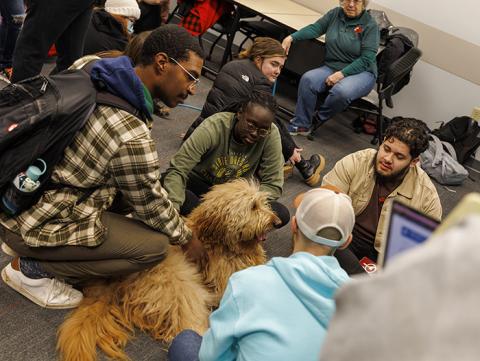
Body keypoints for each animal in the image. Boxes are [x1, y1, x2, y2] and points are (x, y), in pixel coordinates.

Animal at [57, 179, 278, 358]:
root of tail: (117, 280)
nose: (276, 222)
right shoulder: (226, 280)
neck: (219, 241)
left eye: (263, 203)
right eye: (253, 206)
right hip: (180, 285)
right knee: (186, 325)